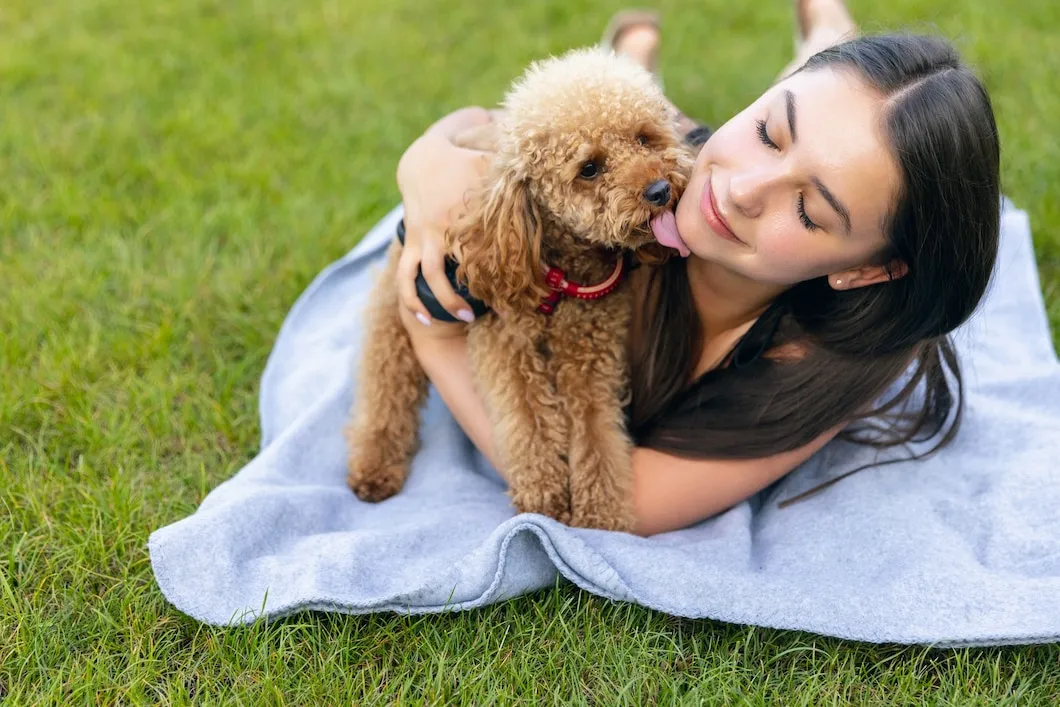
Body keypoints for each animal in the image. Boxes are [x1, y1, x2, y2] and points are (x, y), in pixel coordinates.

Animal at [345, 49, 695, 529]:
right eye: (589, 168)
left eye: (644, 138)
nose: (660, 190)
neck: (561, 276)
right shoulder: (506, 344)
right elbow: (528, 421)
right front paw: (544, 501)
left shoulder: (592, 353)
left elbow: (595, 430)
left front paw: (600, 515)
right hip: (398, 307)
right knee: (385, 383)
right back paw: (374, 465)